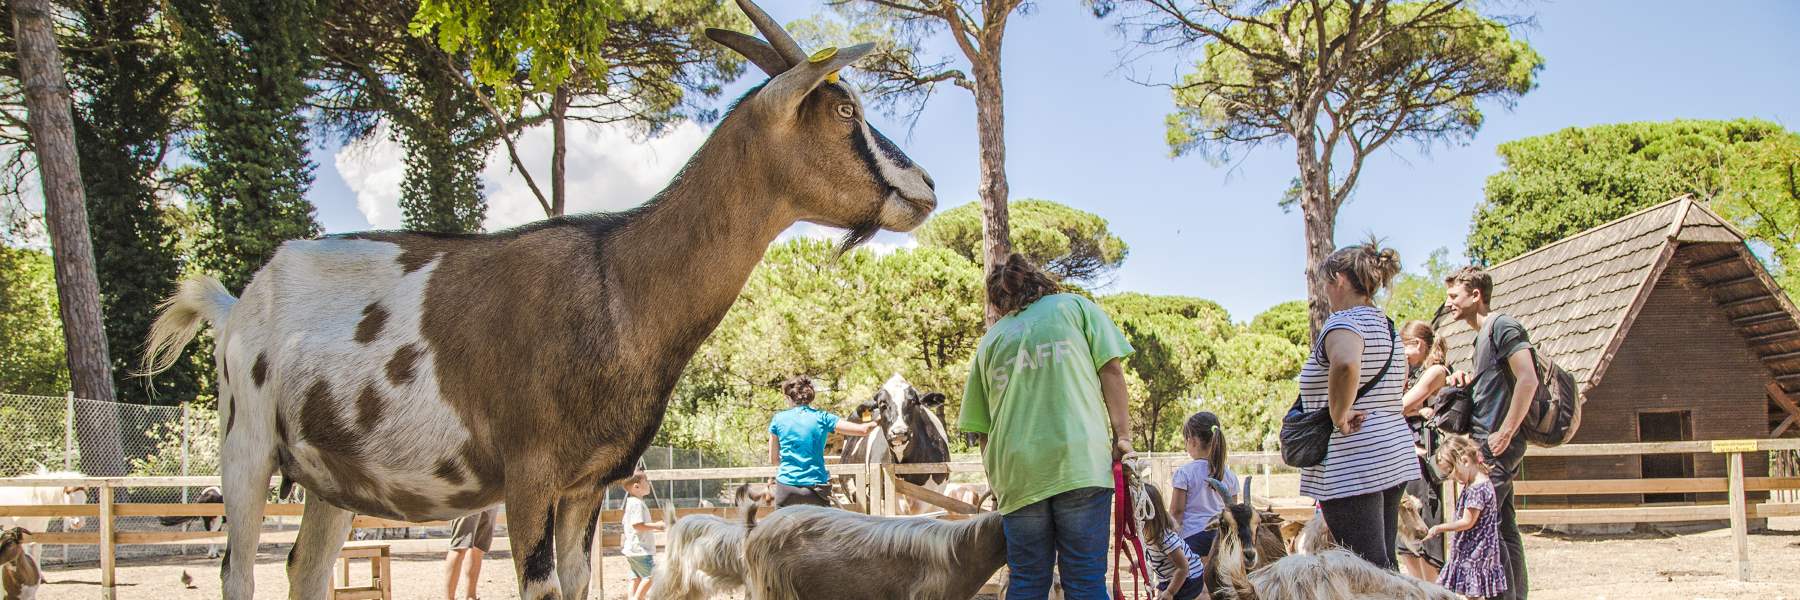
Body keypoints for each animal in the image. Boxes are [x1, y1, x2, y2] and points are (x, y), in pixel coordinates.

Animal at [136, 0, 943, 594]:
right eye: (843, 111)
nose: (927, 187)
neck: (617, 283)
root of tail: (237, 303)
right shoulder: (527, 480)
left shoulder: (585, 488)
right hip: (244, 444)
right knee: (237, 570)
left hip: (332, 477)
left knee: (305, 569)